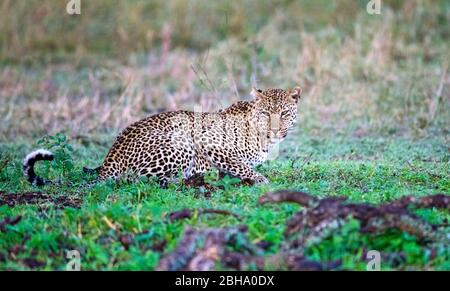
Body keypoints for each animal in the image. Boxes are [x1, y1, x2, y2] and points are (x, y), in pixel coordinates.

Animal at [22, 86, 302, 187]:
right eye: (266, 113)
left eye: (284, 113)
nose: (275, 130)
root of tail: (110, 158)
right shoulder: (209, 142)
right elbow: (242, 166)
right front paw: (262, 180)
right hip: (179, 143)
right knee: (139, 179)